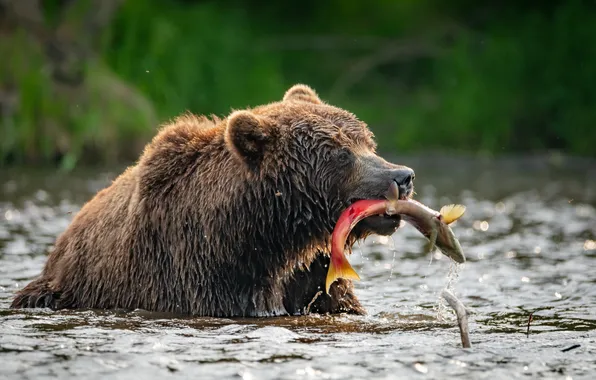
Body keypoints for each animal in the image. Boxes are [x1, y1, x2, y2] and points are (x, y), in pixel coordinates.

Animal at [11, 84, 416, 318]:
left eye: (367, 141)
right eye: (341, 154)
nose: (403, 176)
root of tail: (60, 246)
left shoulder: (313, 276)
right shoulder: (201, 274)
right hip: (60, 291)